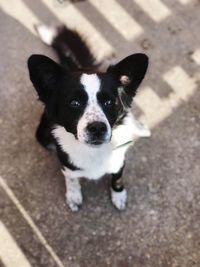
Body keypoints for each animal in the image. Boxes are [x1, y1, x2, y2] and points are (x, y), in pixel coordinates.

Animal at [27, 25, 150, 214]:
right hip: (42, 135)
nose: (97, 128)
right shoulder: (67, 165)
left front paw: (119, 195)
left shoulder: (119, 160)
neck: (93, 152)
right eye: (74, 103)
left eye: (109, 102)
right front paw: (73, 196)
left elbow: (118, 178)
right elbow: (71, 179)